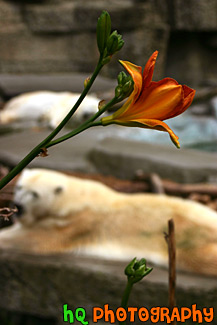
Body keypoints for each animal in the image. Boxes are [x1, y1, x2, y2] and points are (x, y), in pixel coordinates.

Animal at [0, 167, 217, 276]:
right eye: (19, 187)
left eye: (35, 194)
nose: (17, 205)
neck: (74, 198)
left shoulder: (77, 223)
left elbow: (33, 239)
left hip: (187, 241)